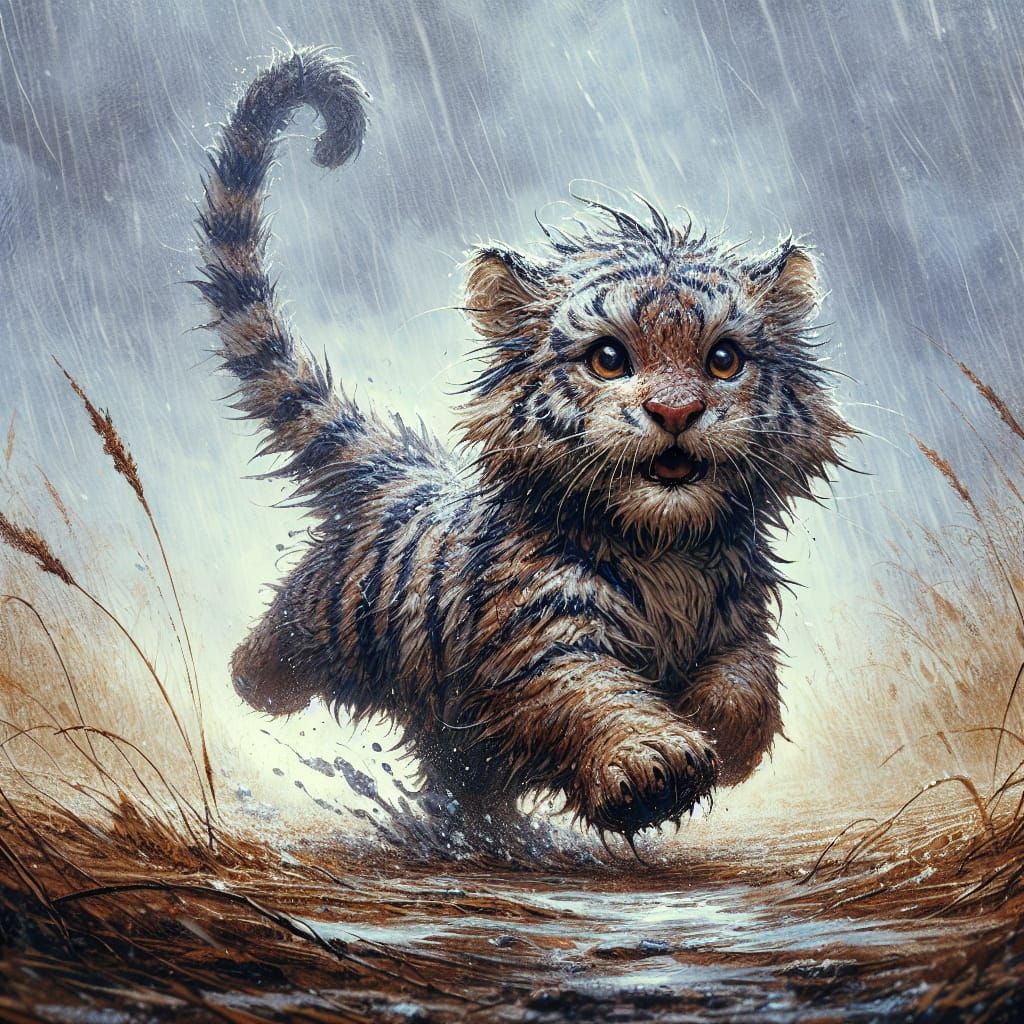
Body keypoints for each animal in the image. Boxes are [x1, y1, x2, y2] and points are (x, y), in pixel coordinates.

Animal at [193, 48, 851, 840]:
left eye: (723, 360)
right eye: (609, 358)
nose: (676, 410)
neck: (668, 554)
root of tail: (409, 475)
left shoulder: (738, 620)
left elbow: (748, 688)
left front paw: (711, 728)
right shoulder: (544, 628)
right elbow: (589, 690)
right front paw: (653, 761)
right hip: (322, 616)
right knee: (267, 653)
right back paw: (255, 676)